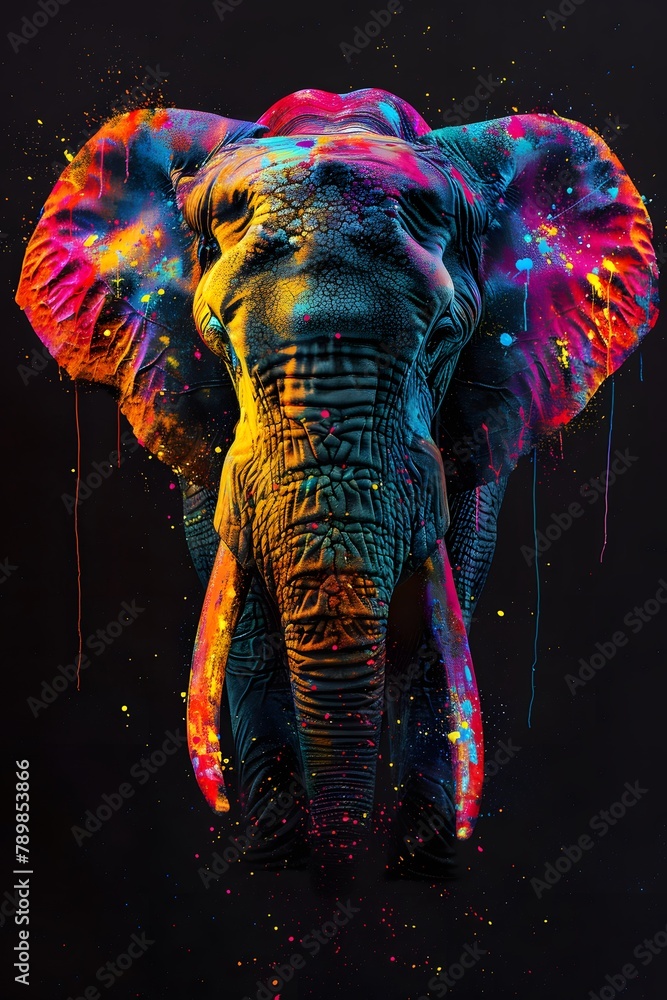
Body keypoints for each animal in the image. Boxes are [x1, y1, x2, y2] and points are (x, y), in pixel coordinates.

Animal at [17, 88, 658, 881]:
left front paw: (421, 867)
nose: (337, 872)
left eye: (442, 340)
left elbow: (440, 619)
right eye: (219, 338)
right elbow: (248, 625)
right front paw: (281, 862)